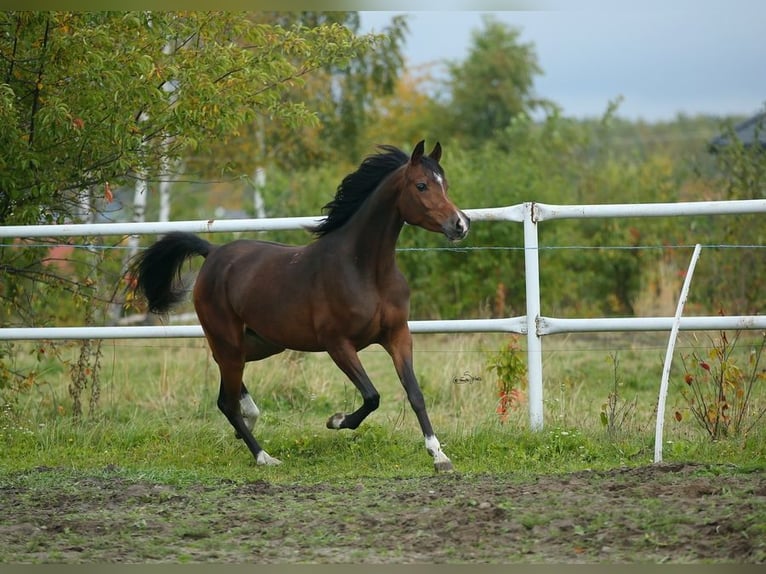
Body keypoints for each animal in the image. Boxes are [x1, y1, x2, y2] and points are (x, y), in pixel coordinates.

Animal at [129, 140, 472, 472]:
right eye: (421, 185)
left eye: (445, 184)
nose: (460, 224)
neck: (366, 270)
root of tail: (213, 253)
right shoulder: (338, 344)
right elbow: (372, 396)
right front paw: (336, 420)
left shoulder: (398, 335)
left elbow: (415, 394)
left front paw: (439, 456)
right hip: (229, 340)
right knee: (226, 401)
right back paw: (264, 456)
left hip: (260, 343)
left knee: (226, 388)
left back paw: (250, 419)